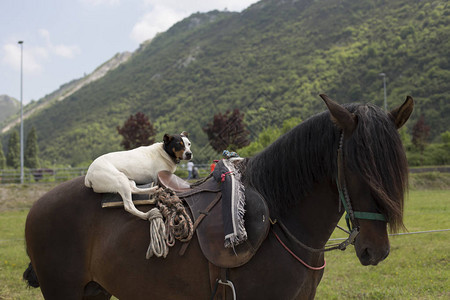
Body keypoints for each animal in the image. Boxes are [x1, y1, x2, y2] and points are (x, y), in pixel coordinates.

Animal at [22, 95, 414, 298]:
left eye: (396, 166)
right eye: (357, 166)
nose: (375, 250)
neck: (281, 225)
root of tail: (38, 205)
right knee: (132, 198)